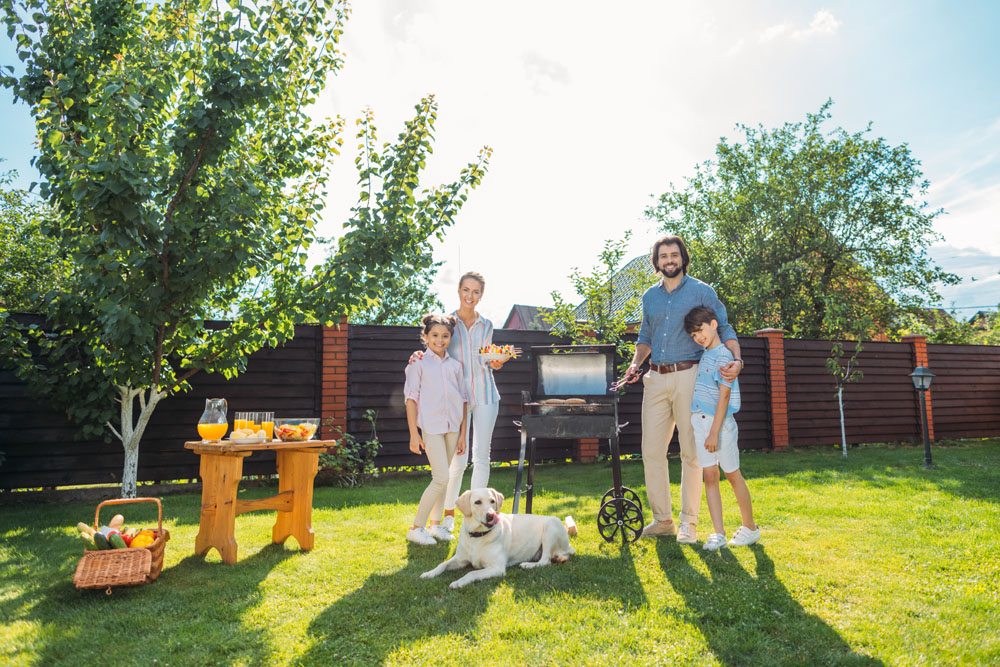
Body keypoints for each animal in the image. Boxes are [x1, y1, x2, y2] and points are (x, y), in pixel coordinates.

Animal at [418, 490, 576, 588]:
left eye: (492, 501)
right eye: (477, 502)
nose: (490, 515)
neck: (478, 536)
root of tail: (569, 547)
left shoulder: (497, 568)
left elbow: (472, 572)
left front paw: (459, 582)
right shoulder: (460, 559)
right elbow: (442, 564)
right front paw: (429, 573)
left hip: (552, 524)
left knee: (545, 561)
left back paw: (528, 565)